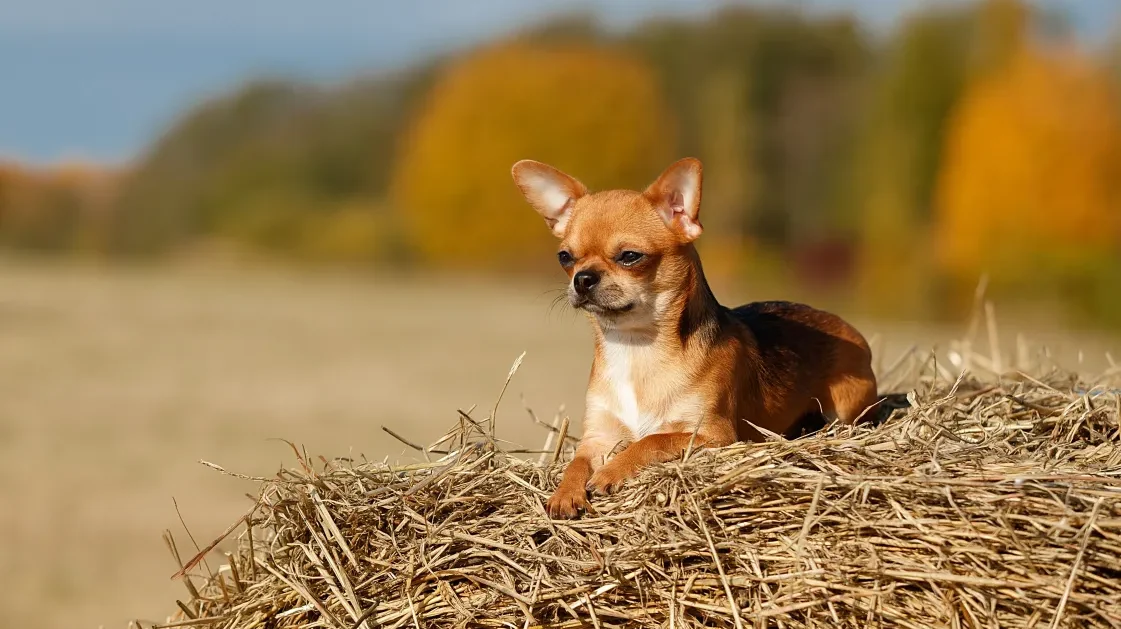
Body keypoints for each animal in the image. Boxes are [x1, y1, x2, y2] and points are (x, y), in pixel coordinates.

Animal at [513, 155, 878, 515]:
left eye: (630, 256)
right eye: (565, 258)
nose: (583, 278)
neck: (635, 347)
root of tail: (845, 327)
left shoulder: (714, 436)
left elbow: (653, 440)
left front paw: (611, 472)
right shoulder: (598, 439)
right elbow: (575, 464)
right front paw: (565, 494)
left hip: (845, 408)